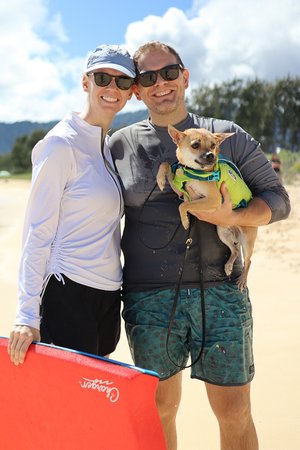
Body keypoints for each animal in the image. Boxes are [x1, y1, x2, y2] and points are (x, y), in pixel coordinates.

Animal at [157, 125, 258, 290]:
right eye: (195, 145)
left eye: (213, 145)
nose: (211, 155)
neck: (191, 172)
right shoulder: (181, 191)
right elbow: (166, 165)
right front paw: (160, 180)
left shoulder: (213, 200)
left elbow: (183, 205)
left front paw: (185, 221)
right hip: (222, 233)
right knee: (235, 251)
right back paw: (228, 266)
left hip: (247, 240)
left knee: (248, 260)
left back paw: (242, 279)